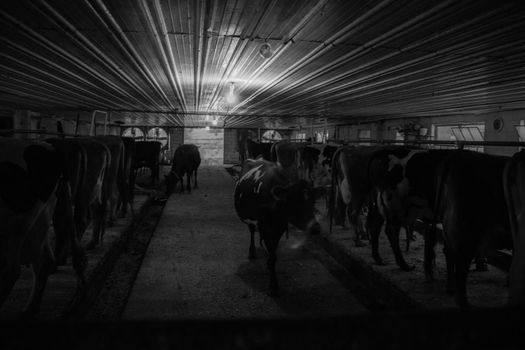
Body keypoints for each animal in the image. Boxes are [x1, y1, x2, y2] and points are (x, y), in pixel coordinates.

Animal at [0, 137, 85, 318]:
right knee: (44, 261)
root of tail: (51, 147)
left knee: (11, 269)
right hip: (41, 220)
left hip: (14, 225)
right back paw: (30, 310)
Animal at [234, 159, 324, 296]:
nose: (315, 227)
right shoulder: (265, 228)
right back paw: (252, 251)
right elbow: (272, 256)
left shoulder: (279, 228)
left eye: (313, 202)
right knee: (251, 231)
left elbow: (273, 253)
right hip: (251, 220)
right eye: (294, 203)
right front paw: (273, 285)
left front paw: (270, 269)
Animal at [434, 150, 512, 306]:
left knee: (450, 253)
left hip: (450, 225)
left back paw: (451, 288)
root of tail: (460, 154)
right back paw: (463, 302)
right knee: (462, 259)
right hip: (468, 229)